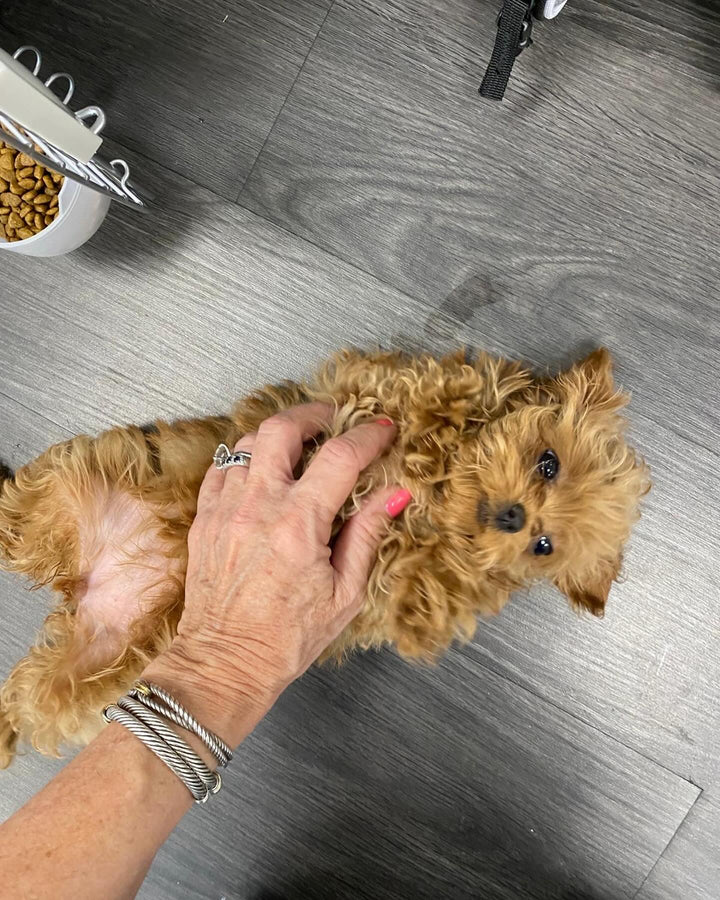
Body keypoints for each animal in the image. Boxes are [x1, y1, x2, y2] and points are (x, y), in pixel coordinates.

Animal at [0, 346, 648, 768]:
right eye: (548, 463)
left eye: (545, 546)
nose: (515, 518)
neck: (439, 498)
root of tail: (89, 581)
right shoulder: (362, 390)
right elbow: (419, 397)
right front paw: (450, 408)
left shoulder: (374, 586)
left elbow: (422, 598)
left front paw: (444, 586)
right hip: (78, 478)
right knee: (18, 516)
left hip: (88, 678)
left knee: (25, 697)